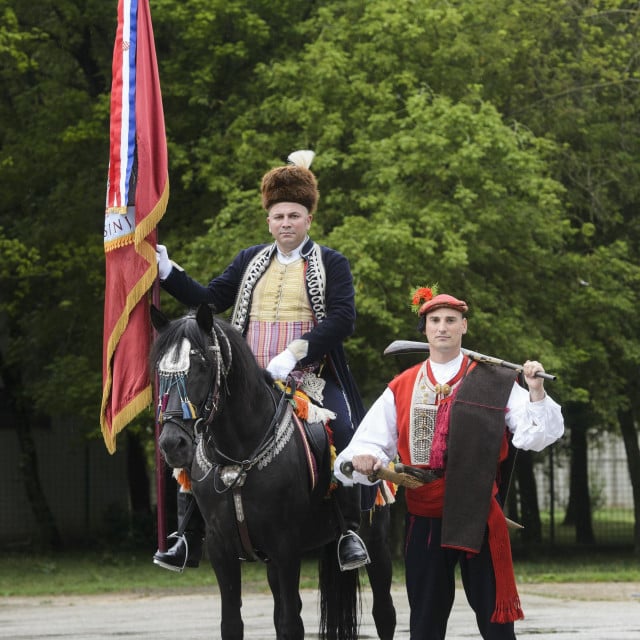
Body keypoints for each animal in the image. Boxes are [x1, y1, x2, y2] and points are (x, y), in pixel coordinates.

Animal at [152, 304, 398, 640]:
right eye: (160, 371)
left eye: (201, 364)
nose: (171, 443)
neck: (239, 455)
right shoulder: (221, 548)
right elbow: (233, 623)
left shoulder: (286, 547)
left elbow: (291, 624)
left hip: (376, 540)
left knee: (384, 613)